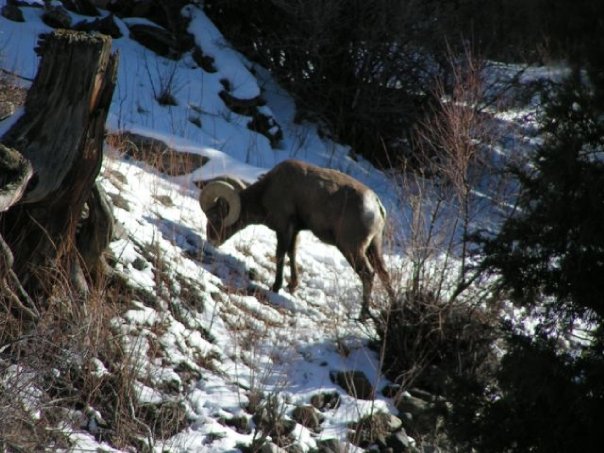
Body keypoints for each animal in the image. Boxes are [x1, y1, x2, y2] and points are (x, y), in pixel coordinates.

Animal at [201, 159, 394, 318]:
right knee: (384, 273)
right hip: (373, 247)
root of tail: (376, 207)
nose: (211, 240)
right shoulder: (294, 231)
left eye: (215, 217)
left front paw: (275, 287)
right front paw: (292, 286)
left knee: (368, 274)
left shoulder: (284, 228)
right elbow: (291, 254)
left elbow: (280, 254)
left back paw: (362, 315)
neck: (268, 190)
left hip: (351, 248)